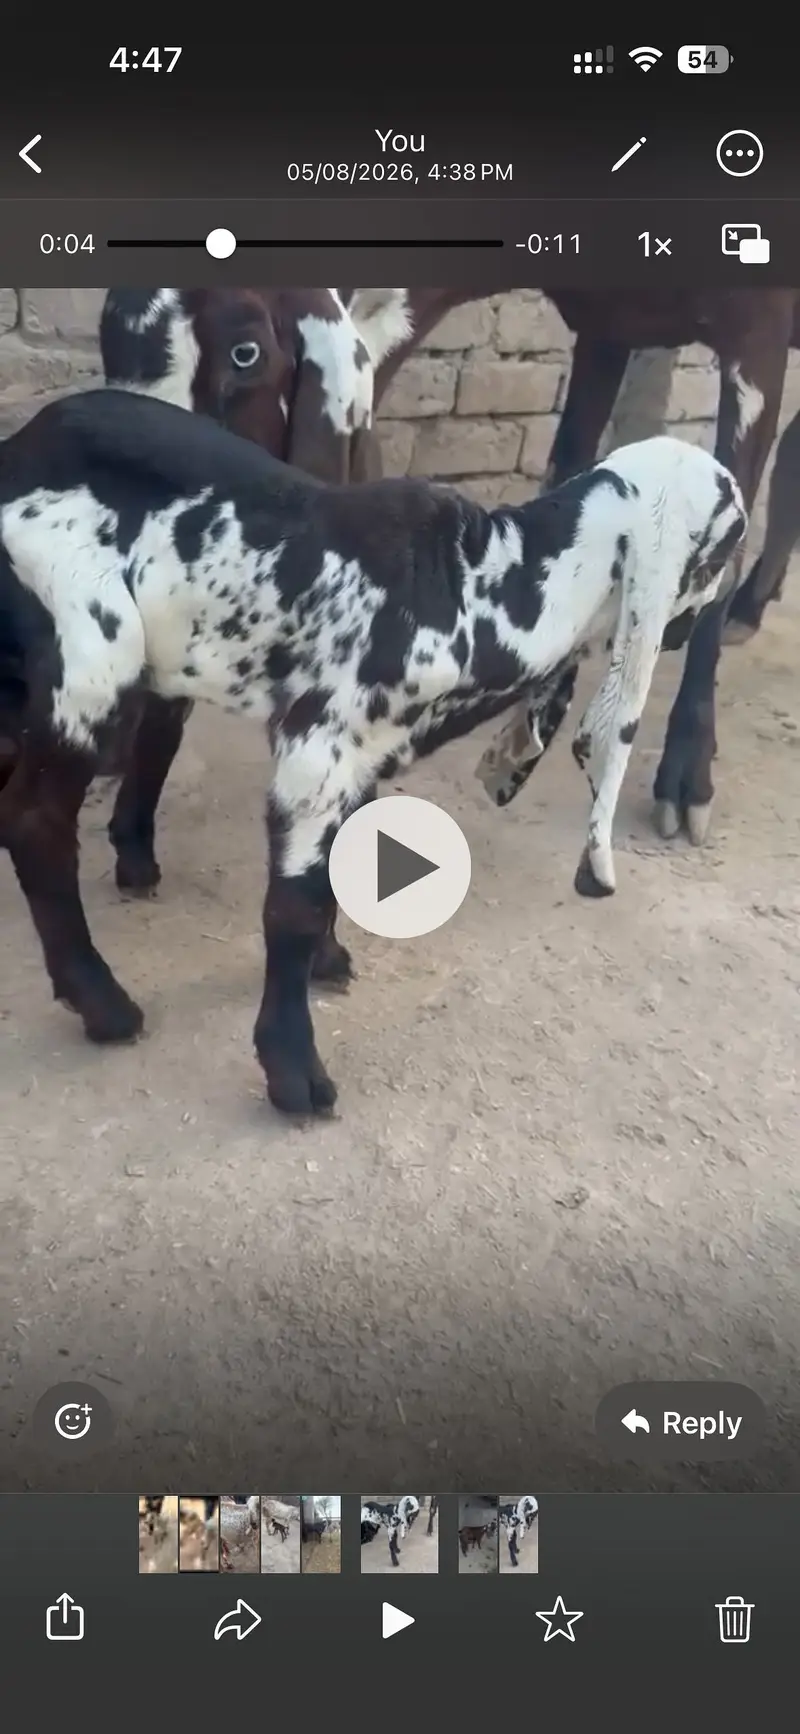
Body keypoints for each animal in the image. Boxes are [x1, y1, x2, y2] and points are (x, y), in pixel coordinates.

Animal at [0, 388, 746, 1114]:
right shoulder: (316, 750)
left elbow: (340, 870)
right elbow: (294, 908)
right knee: (35, 822)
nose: (705, 621)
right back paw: (105, 1006)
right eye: (734, 534)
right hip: (91, 650)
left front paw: (327, 962)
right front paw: (294, 1071)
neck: (480, 588)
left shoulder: (364, 758)